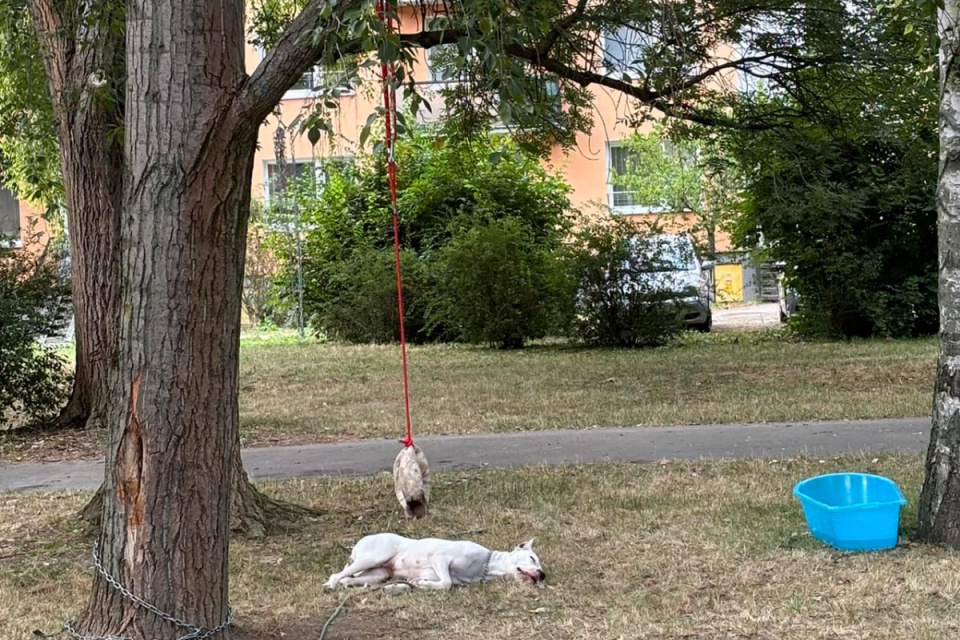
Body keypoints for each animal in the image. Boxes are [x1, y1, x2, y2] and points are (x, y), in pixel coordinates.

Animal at [324, 532, 544, 592]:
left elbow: (442, 583)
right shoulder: (439, 557)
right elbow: (446, 583)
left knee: (349, 578)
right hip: (376, 555)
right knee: (336, 575)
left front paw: (420, 584)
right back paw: (331, 585)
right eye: (532, 558)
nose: (542, 575)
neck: (485, 565)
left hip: (379, 573)